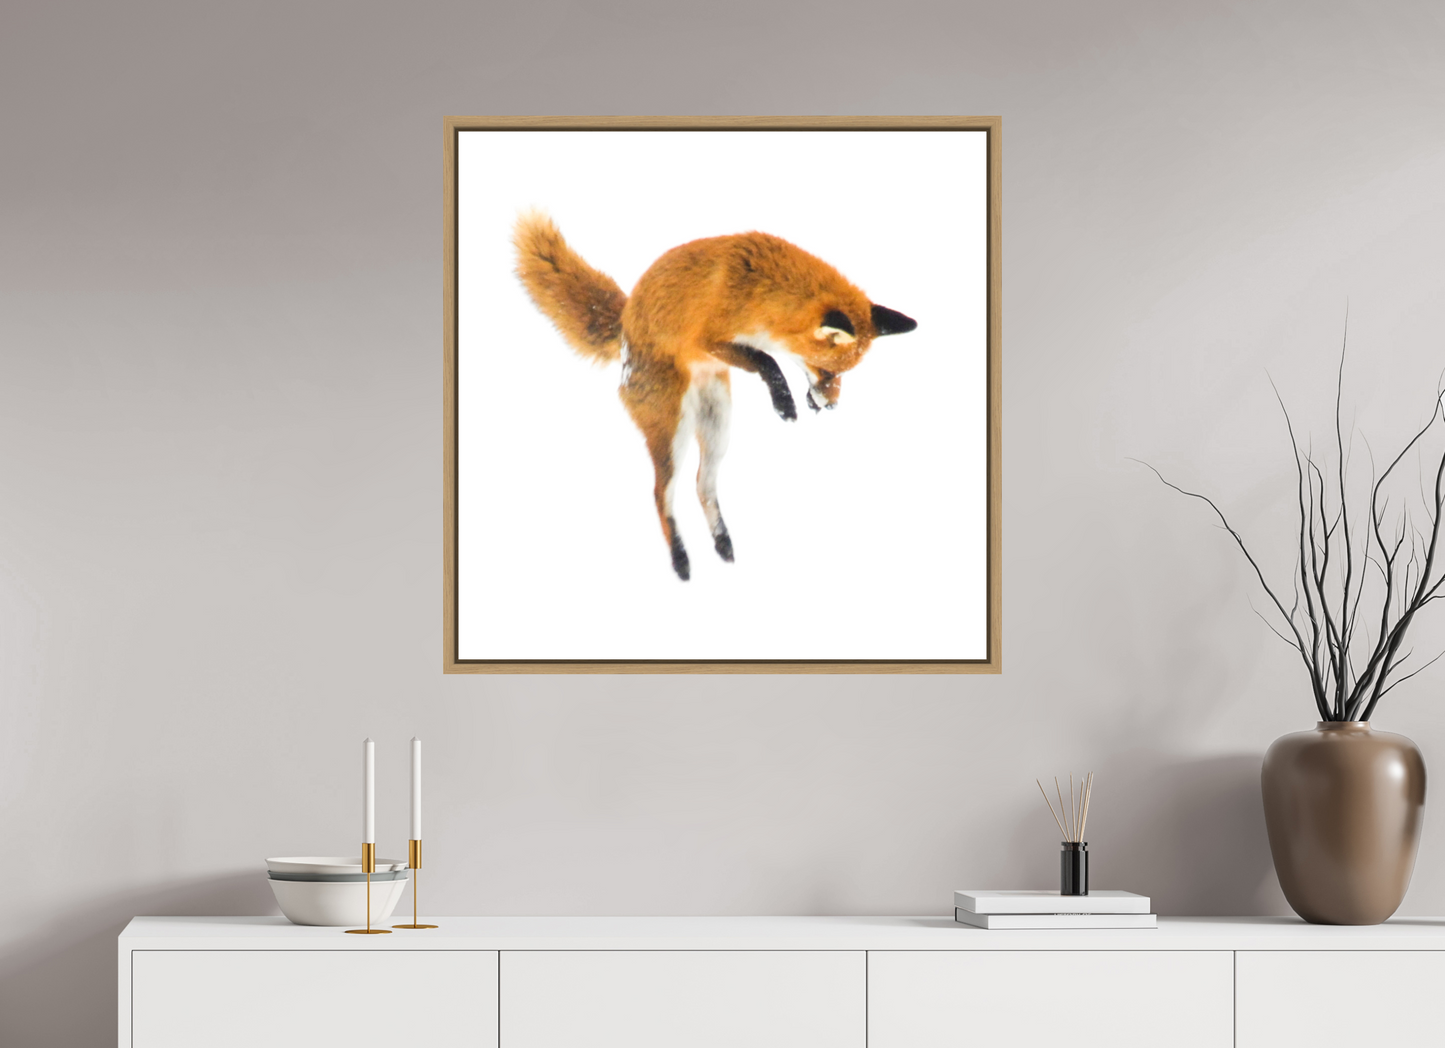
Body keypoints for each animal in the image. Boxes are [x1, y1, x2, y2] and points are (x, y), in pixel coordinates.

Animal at [512, 211, 917, 581]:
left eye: (842, 376)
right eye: (829, 372)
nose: (831, 406)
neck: (763, 289)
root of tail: (625, 326)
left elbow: (768, 360)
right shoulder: (710, 339)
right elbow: (767, 361)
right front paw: (784, 403)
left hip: (718, 426)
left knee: (702, 485)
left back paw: (722, 542)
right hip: (673, 432)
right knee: (660, 494)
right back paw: (680, 560)